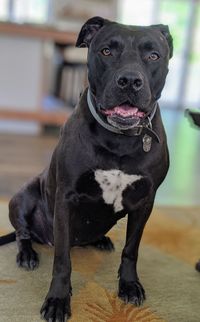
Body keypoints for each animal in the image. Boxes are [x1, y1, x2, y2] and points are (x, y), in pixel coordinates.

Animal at [0, 17, 173, 320]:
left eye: (153, 55)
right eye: (106, 51)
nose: (130, 81)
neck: (119, 139)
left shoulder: (145, 202)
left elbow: (132, 249)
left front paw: (129, 285)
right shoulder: (65, 198)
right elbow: (62, 261)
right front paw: (58, 299)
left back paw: (101, 240)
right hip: (23, 195)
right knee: (23, 232)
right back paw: (27, 254)